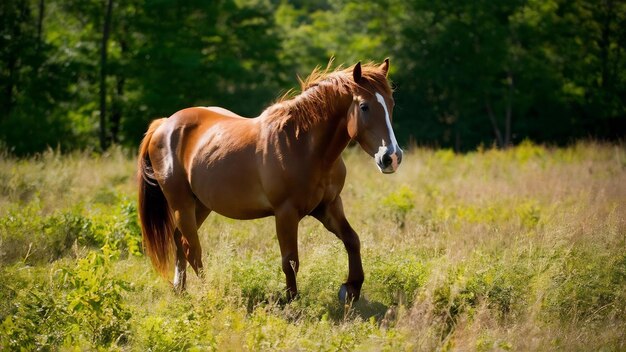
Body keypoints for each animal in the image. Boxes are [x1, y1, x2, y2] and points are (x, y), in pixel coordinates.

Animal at [136, 59, 402, 302]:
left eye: (391, 103)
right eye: (365, 106)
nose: (391, 157)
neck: (302, 145)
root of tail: (164, 124)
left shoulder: (329, 206)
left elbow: (352, 240)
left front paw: (351, 288)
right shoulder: (286, 213)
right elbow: (290, 260)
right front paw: (292, 301)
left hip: (200, 205)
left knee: (179, 241)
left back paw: (180, 290)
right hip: (181, 204)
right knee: (192, 249)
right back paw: (208, 293)